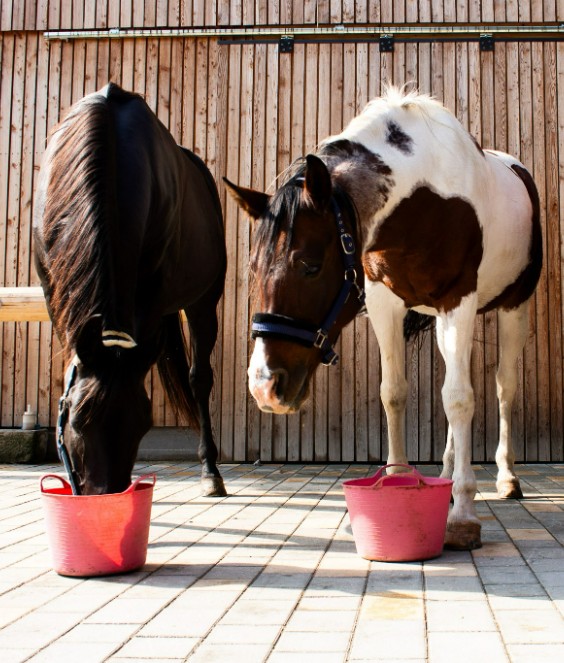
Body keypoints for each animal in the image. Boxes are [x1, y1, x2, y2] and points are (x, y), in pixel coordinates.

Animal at [33, 83, 226, 496]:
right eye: (76, 420)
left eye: (144, 423)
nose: (105, 496)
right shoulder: (51, 288)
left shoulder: (151, 296)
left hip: (203, 302)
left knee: (199, 378)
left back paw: (210, 472)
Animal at [227, 89, 544, 556]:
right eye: (253, 267)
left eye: (309, 265)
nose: (264, 386)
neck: (424, 199)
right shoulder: (383, 301)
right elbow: (395, 393)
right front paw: (398, 479)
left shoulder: (460, 301)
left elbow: (460, 399)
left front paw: (463, 514)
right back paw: (445, 472)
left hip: (512, 309)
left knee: (503, 387)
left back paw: (506, 478)